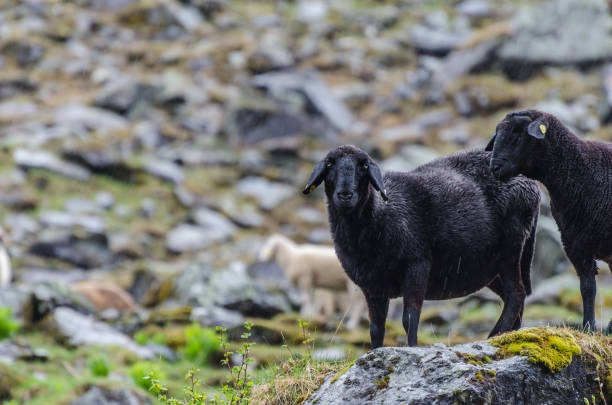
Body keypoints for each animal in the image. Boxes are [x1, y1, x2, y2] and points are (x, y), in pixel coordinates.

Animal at [304, 145, 536, 348]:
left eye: (363, 166)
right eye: (329, 164)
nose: (345, 195)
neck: (379, 217)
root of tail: (529, 182)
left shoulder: (417, 266)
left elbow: (409, 318)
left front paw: (412, 348)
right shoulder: (372, 285)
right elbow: (376, 328)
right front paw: (375, 352)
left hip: (511, 248)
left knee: (516, 294)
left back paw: (496, 335)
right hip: (487, 267)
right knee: (514, 295)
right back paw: (507, 335)